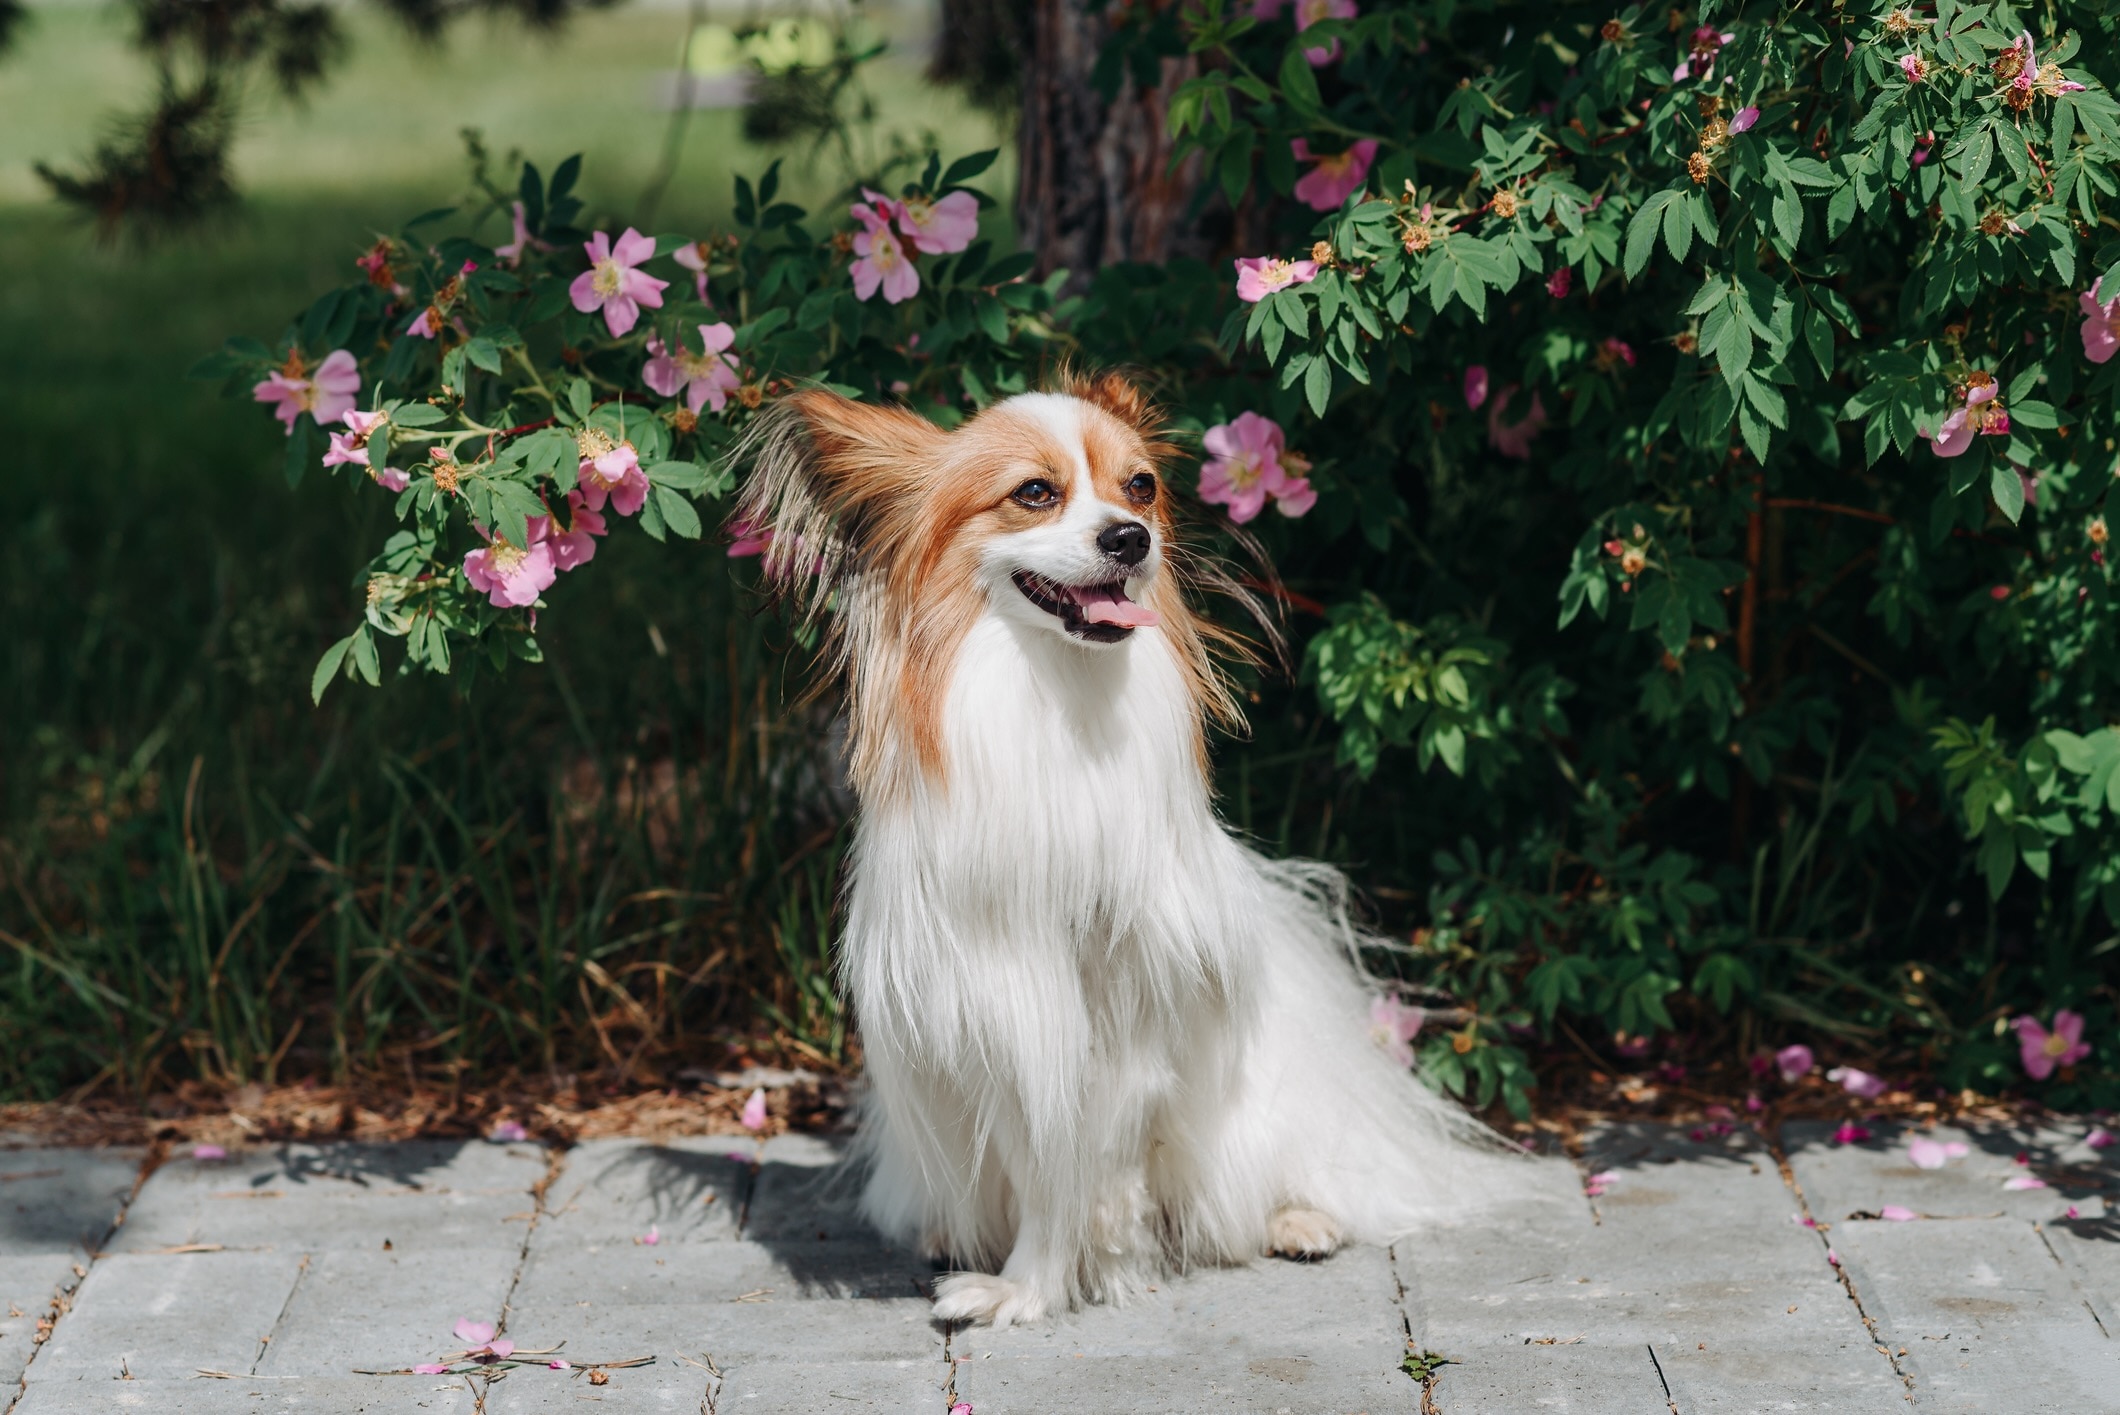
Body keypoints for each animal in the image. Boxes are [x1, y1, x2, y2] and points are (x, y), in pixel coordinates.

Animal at [737, 371, 1534, 1323]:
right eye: (1034, 493)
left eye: (1141, 486)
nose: (1130, 537)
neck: (1060, 698)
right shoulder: (1001, 1005)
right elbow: (1038, 1154)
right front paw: (1036, 1277)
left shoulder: (1120, 1018)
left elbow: (1078, 1168)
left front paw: (1034, 1286)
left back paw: (1301, 1218)